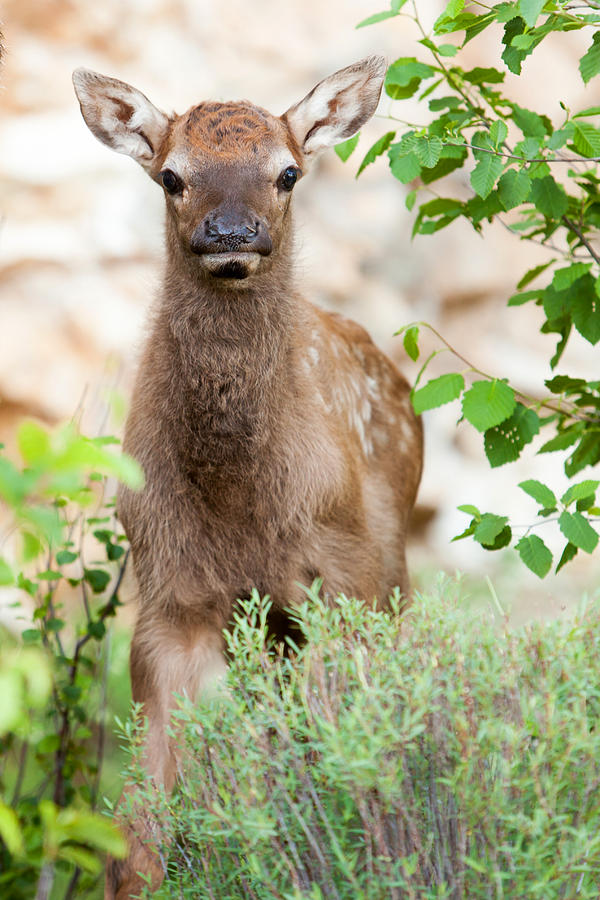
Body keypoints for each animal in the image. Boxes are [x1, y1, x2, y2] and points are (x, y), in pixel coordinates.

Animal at [72, 58, 422, 900]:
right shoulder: (170, 598)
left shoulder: (343, 584)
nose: (231, 234)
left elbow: (352, 766)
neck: (242, 504)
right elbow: (139, 834)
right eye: (171, 175)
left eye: (287, 172)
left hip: (386, 583)